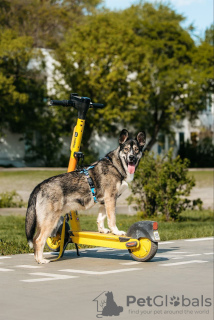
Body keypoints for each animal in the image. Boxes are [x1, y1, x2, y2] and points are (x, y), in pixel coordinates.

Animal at [24, 129, 145, 264]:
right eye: (126, 149)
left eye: (136, 150)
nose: (131, 157)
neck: (116, 165)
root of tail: (40, 186)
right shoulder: (111, 199)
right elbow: (112, 219)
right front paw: (116, 231)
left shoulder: (104, 201)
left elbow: (101, 218)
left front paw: (102, 231)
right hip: (50, 221)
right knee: (39, 240)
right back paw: (41, 260)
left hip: (43, 221)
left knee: (35, 239)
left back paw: (37, 258)